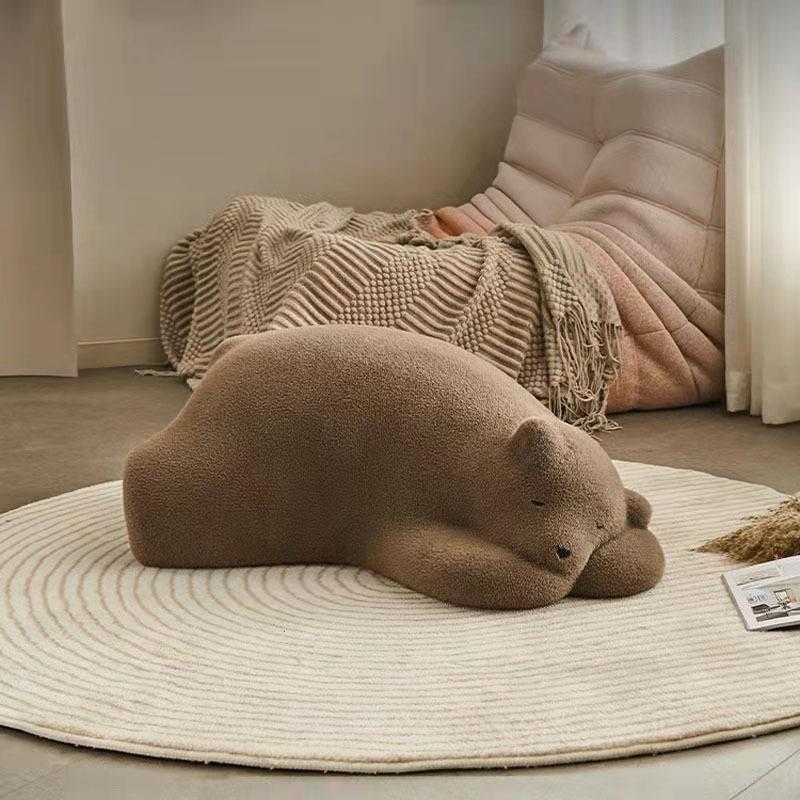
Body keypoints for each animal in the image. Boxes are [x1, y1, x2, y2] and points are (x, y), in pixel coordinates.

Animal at [123, 326, 664, 610]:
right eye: (537, 500)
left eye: (599, 524)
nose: (565, 552)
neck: (483, 460)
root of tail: (227, 353)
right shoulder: (409, 493)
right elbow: (449, 563)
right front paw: (541, 577)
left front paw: (616, 552)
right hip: (232, 460)